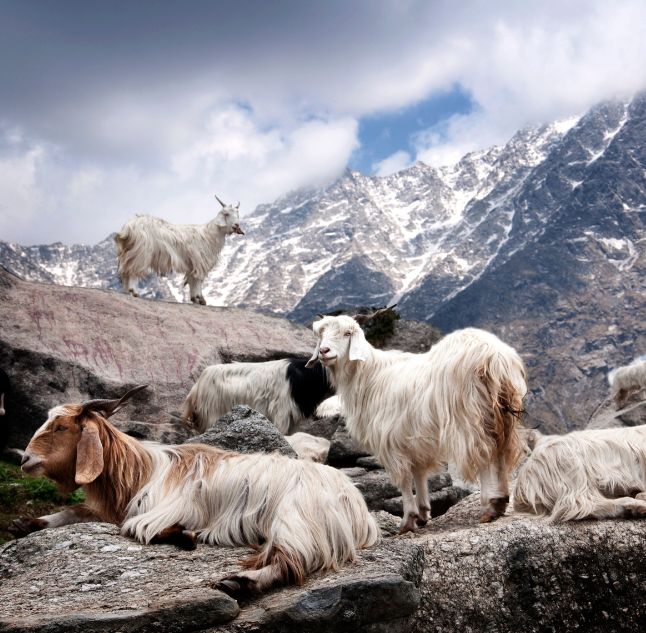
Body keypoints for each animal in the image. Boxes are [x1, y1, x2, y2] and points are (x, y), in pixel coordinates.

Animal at [12, 386, 379, 598]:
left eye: (61, 427)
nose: (25, 459)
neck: (139, 471)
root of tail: (355, 503)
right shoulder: (112, 508)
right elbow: (76, 512)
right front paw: (28, 524)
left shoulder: (158, 509)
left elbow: (137, 528)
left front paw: (183, 535)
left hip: (296, 520)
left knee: (291, 561)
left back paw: (242, 582)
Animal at [114, 194, 244, 305]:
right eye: (226, 214)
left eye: (237, 214)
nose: (236, 225)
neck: (209, 234)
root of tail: (128, 227)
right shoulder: (200, 262)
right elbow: (198, 280)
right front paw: (200, 299)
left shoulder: (192, 264)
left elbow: (192, 280)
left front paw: (195, 299)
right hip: (140, 253)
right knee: (132, 271)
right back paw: (134, 292)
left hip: (128, 252)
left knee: (125, 271)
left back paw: (127, 291)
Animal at [306, 314, 526, 532]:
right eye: (321, 334)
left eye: (347, 333)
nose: (324, 351)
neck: (368, 376)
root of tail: (493, 356)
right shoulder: (414, 438)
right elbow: (419, 472)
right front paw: (422, 513)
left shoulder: (389, 440)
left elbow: (404, 480)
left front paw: (407, 520)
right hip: (500, 413)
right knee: (501, 451)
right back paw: (501, 500)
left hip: (469, 415)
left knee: (485, 454)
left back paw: (490, 505)